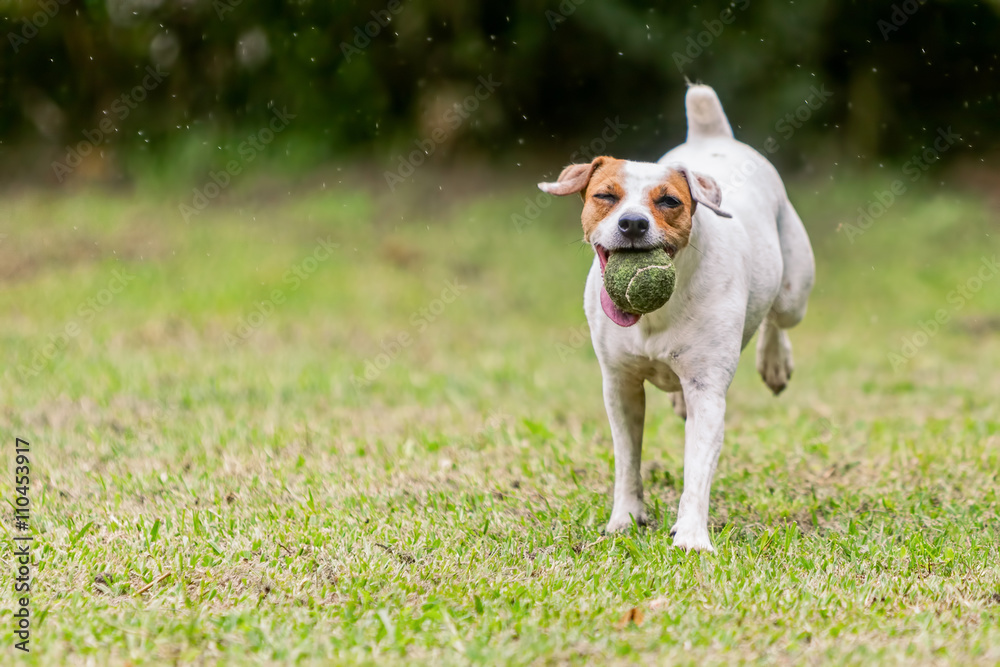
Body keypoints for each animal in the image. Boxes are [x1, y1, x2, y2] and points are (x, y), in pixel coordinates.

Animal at [540, 85, 812, 552]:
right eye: (605, 196)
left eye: (669, 200)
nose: (632, 223)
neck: (653, 317)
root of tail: (712, 136)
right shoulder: (620, 385)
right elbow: (627, 459)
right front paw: (625, 518)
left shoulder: (708, 390)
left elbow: (697, 469)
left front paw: (690, 535)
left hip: (794, 290)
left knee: (778, 318)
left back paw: (775, 362)